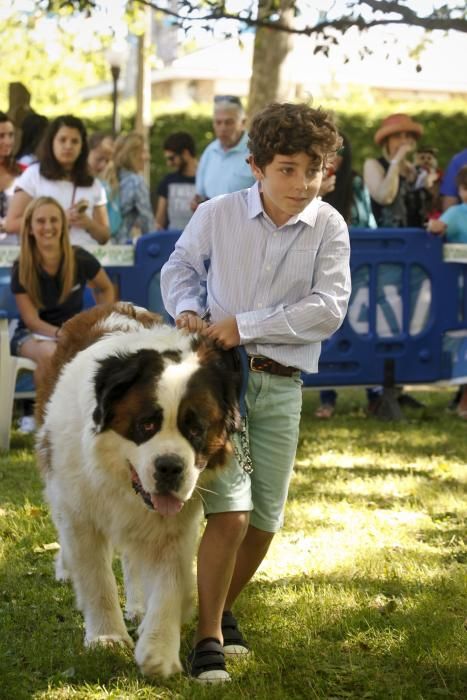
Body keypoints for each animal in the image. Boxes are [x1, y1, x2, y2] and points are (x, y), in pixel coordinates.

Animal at [36, 302, 241, 680]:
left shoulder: (174, 528)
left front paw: (158, 649)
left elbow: (171, 581)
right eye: (146, 424)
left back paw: (139, 606)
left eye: (196, 430)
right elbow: (96, 579)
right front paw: (107, 637)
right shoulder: (80, 511)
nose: (170, 467)